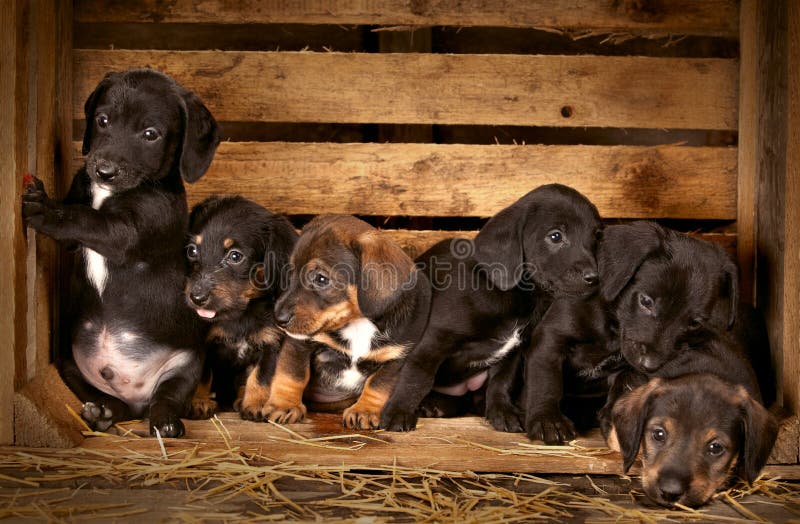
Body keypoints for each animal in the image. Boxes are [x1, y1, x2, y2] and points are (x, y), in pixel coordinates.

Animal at [21, 69, 219, 438]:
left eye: (150, 134)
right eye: (103, 120)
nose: (104, 170)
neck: (108, 191)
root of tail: (136, 394)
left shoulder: (131, 231)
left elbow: (86, 218)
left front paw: (47, 210)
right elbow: (79, 219)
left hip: (188, 363)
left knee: (167, 397)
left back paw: (166, 423)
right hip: (69, 362)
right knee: (114, 403)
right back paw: (103, 412)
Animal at [184, 194, 296, 420]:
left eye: (235, 256)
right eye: (192, 250)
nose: (196, 297)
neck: (240, 316)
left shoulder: (270, 343)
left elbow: (260, 376)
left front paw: (256, 404)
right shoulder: (204, 343)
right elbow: (202, 374)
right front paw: (198, 402)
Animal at [268, 215, 432, 428]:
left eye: (321, 279)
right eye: (291, 273)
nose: (279, 318)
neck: (358, 324)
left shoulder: (394, 358)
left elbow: (377, 385)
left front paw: (364, 411)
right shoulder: (299, 343)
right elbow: (292, 374)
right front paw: (284, 405)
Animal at [382, 185, 600, 434]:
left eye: (596, 236)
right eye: (555, 236)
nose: (594, 278)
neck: (514, 297)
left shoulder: (513, 352)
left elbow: (501, 383)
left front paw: (502, 412)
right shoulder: (432, 341)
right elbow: (416, 377)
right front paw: (398, 412)